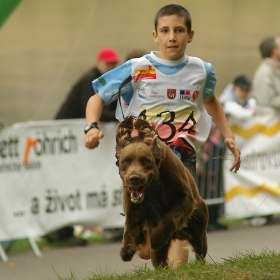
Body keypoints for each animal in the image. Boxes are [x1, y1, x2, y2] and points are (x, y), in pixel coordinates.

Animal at [115, 115, 209, 266]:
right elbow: (130, 229)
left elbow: (170, 217)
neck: (154, 186)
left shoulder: (185, 197)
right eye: (125, 162)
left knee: (200, 249)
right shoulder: (133, 209)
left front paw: (156, 238)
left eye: (145, 161)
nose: (134, 178)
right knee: (159, 261)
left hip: (198, 227)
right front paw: (126, 250)